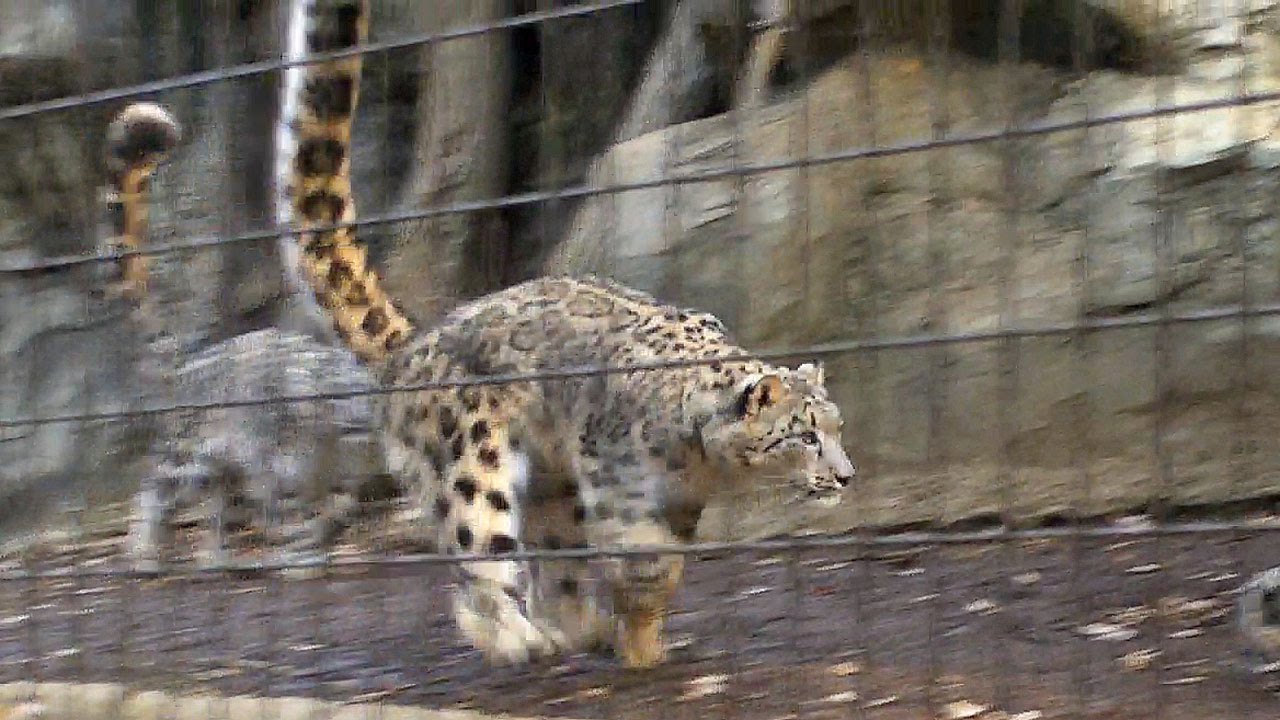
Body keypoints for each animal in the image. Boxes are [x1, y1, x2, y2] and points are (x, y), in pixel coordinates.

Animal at [107, 0, 857, 668]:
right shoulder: (621, 487)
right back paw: (515, 639)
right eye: (803, 435)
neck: (699, 464)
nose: (846, 474)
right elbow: (641, 556)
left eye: (837, 426)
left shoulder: (673, 502)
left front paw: (640, 637)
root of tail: (414, 347)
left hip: (549, 490)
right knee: (481, 556)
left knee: (551, 560)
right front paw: (640, 629)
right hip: (471, 465)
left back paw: (572, 627)